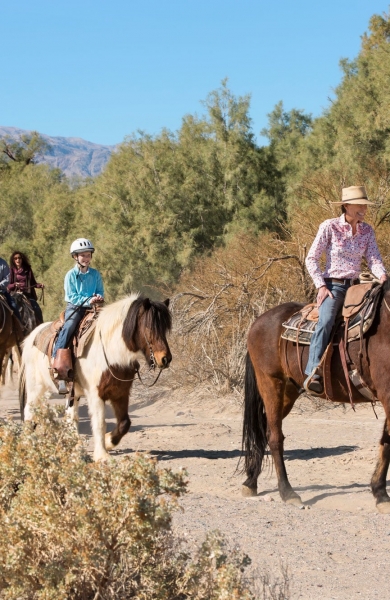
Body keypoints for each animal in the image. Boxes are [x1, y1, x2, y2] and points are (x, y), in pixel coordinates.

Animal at [19, 294, 171, 460]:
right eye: (149, 327)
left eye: (165, 328)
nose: (165, 359)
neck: (111, 353)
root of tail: (31, 337)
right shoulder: (96, 394)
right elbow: (99, 423)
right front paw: (102, 455)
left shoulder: (120, 393)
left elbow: (124, 423)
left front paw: (109, 441)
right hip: (36, 388)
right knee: (30, 411)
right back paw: (27, 443)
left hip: (71, 393)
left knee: (71, 416)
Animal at [242, 280, 390, 510]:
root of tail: (258, 322)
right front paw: (382, 495)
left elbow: (385, 443)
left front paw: (379, 492)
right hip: (270, 383)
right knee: (274, 437)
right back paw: (287, 492)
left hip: (288, 392)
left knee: (263, 430)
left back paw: (251, 482)